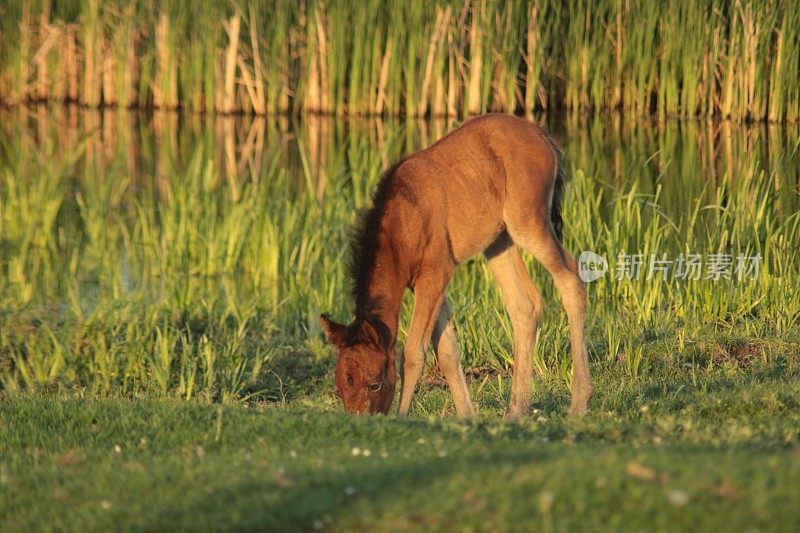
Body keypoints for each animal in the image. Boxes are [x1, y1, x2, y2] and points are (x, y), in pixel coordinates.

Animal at [320, 113, 592, 420]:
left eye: (375, 383)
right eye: (341, 384)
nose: (363, 421)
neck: (400, 228)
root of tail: (546, 138)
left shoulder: (435, 273)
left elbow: (413, 353)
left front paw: (402, 417)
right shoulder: (427, 281)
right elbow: (447, 350)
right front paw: (468, 417)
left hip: (528, 221)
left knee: (572, 279)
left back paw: (579, 402)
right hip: (499, 241)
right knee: (525, 304)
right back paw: (515, 410)